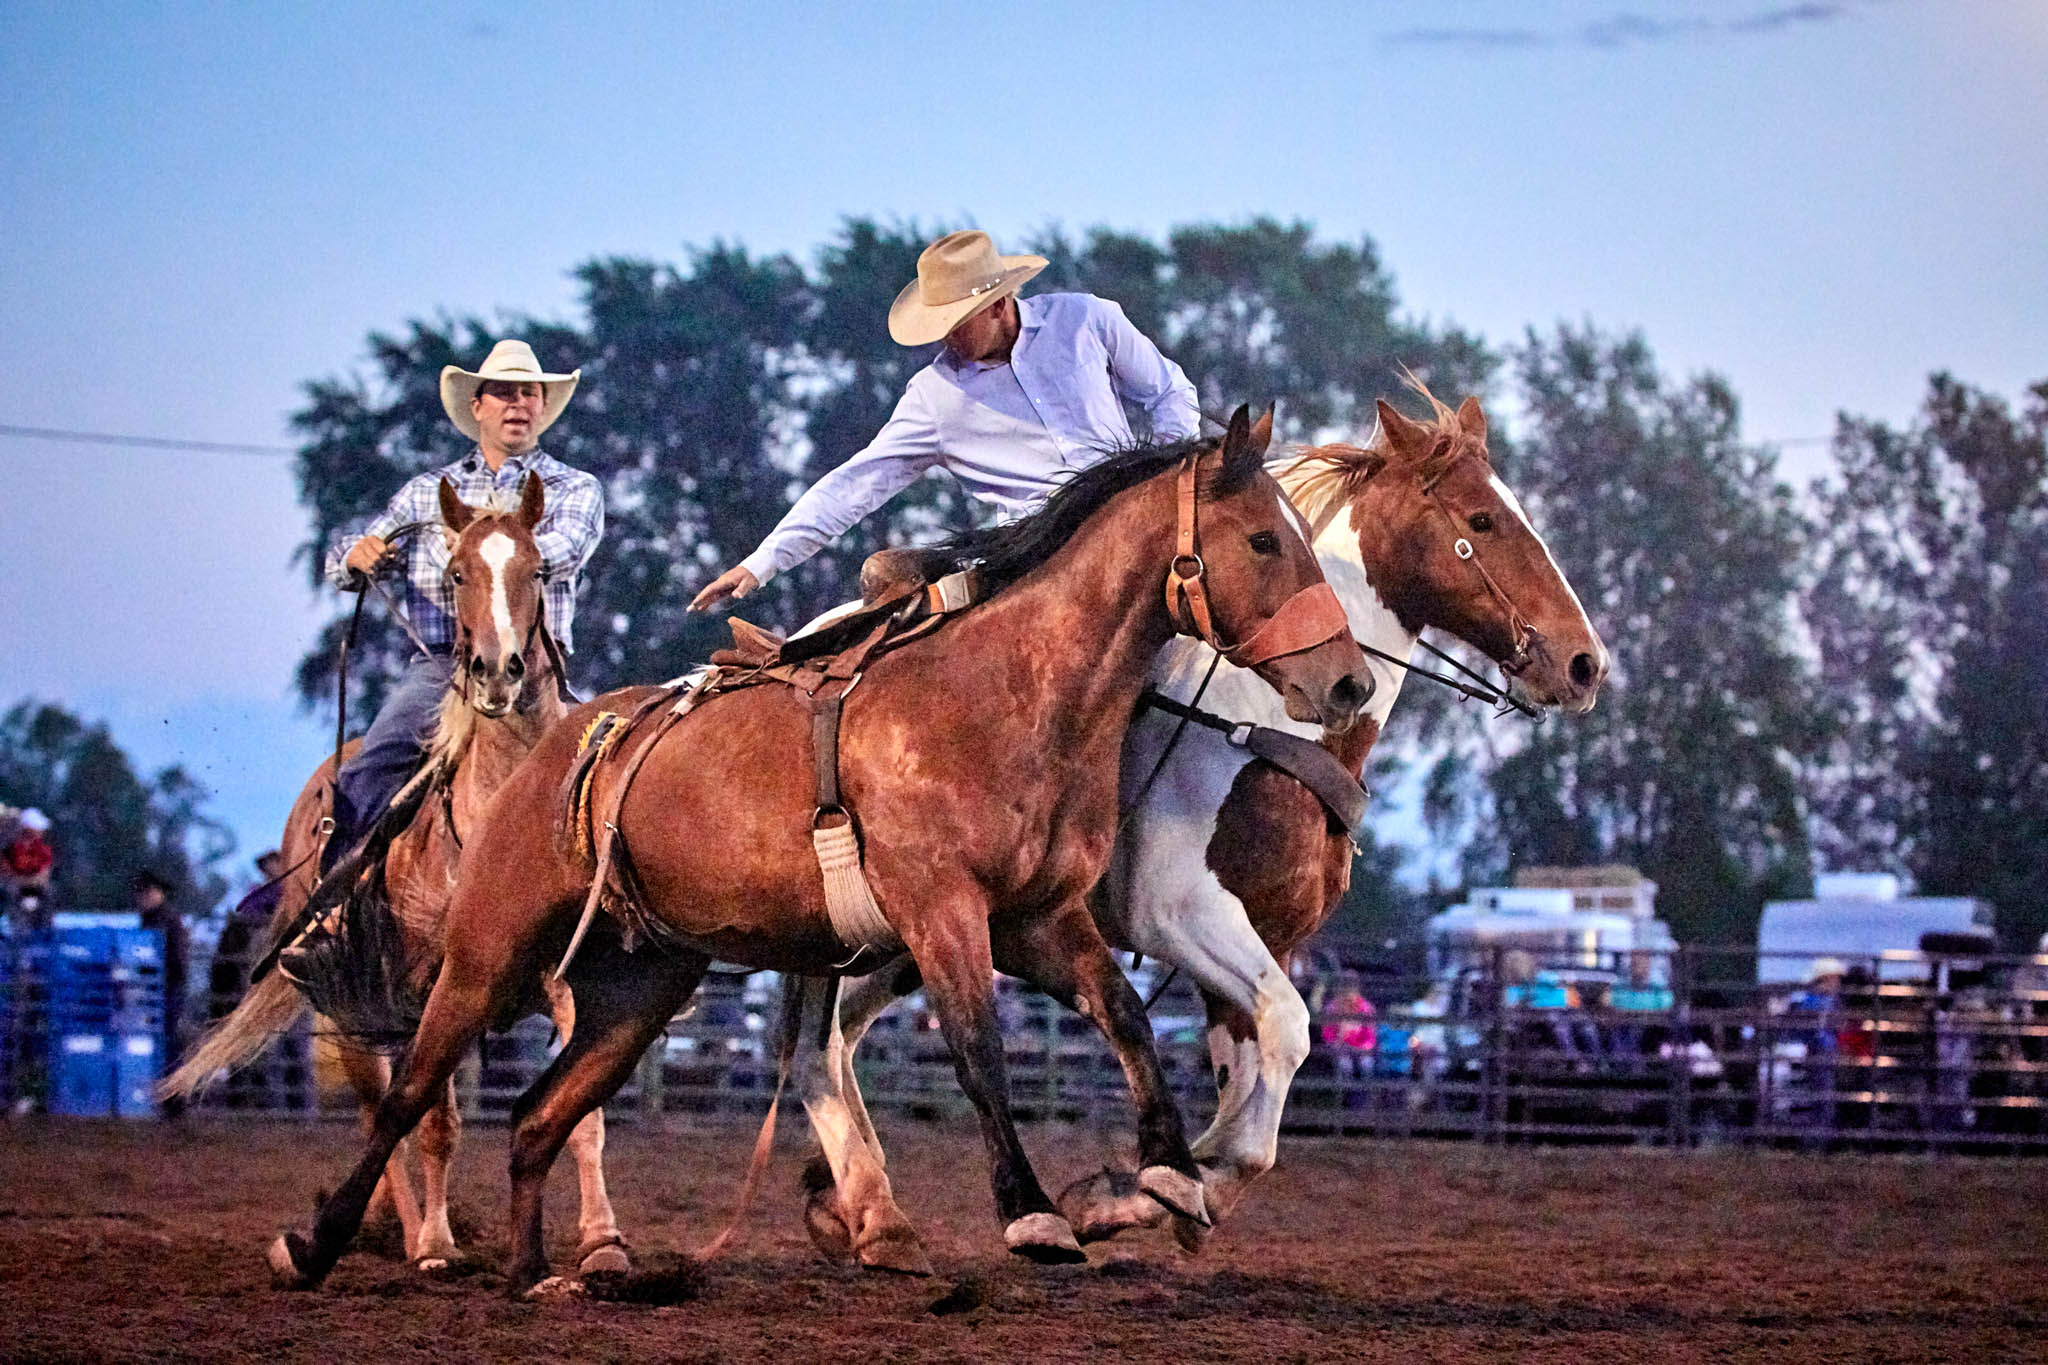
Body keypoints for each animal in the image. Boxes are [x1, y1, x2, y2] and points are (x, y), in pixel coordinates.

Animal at [165, 478, 630, 1285]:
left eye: (539, 569)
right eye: (456, 573)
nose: (497, 671)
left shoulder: (570, 983)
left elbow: (584, 1117)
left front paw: (603, 1242)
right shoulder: (438, 984)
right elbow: (433, 1120)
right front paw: (438, 1245)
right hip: (350, 1008)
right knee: (377, 1112)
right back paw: (406, 1233)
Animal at [260, 409, 1376, 1301]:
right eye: (1264, 538)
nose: (1348, 684)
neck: (1003, 692)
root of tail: (550, 748)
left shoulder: (1041, 920)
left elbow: (1129, 1019)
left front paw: (1168, 1175)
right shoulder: (940, 911)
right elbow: (979, 1052)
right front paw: (1033, 1214)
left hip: (637, 989)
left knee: (538, 1116)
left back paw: (543, 1275)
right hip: (486, 952)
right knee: (411, 1094)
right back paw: (316, 1246)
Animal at [806, 382, 1605, 1260]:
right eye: (1482, 520)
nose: (1584, 663)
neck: (1262, 724)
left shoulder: (1268, 939)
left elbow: (1255, 1076)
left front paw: (1145, 1191)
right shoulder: (1184, 916)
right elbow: (1289, 1032)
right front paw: (1148, 1185)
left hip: (906, 940)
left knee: (835, 1037)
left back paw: (845, 1200)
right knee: (825, 1042)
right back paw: (871, 1205)